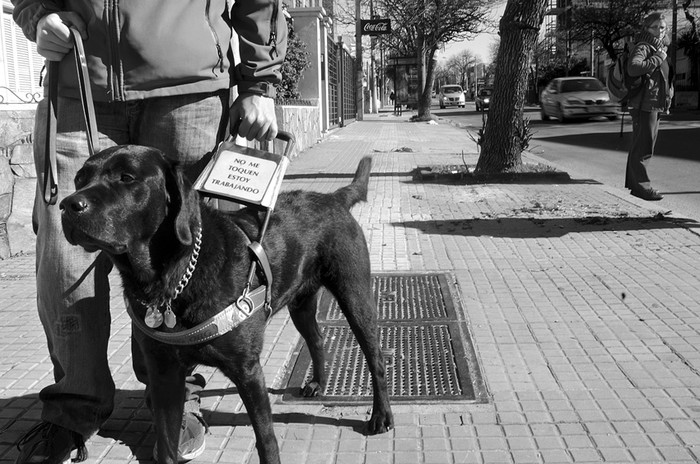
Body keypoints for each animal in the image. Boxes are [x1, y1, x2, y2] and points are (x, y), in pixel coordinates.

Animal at [60, 146, 394, 464]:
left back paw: (381, 415)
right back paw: (318, 383)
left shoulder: (247, 370)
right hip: (301, 303)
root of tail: (333, 198)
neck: (172, 279)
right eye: (79, 179)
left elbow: (266, 439)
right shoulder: (164, 374)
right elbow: (167, 444)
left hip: (355, 295)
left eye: (126, 178)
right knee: (316, 338)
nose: (68, 205)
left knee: (375, 356)